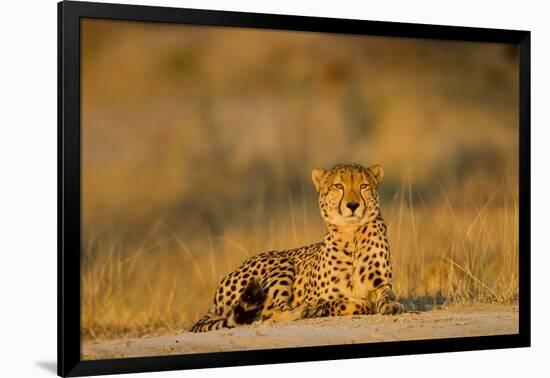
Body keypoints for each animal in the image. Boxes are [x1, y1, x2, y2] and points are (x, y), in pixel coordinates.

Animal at [191, 162, 406, 330]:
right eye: (338, 186)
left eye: (363, 186)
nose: (353, 205)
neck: (350, 234)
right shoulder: (317, 295)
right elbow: (346, 303)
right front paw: (325, 306)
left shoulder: (382, 284)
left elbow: (386, 296)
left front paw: (391, 305)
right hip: (280, 264)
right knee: (269, 312)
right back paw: (306, 310)